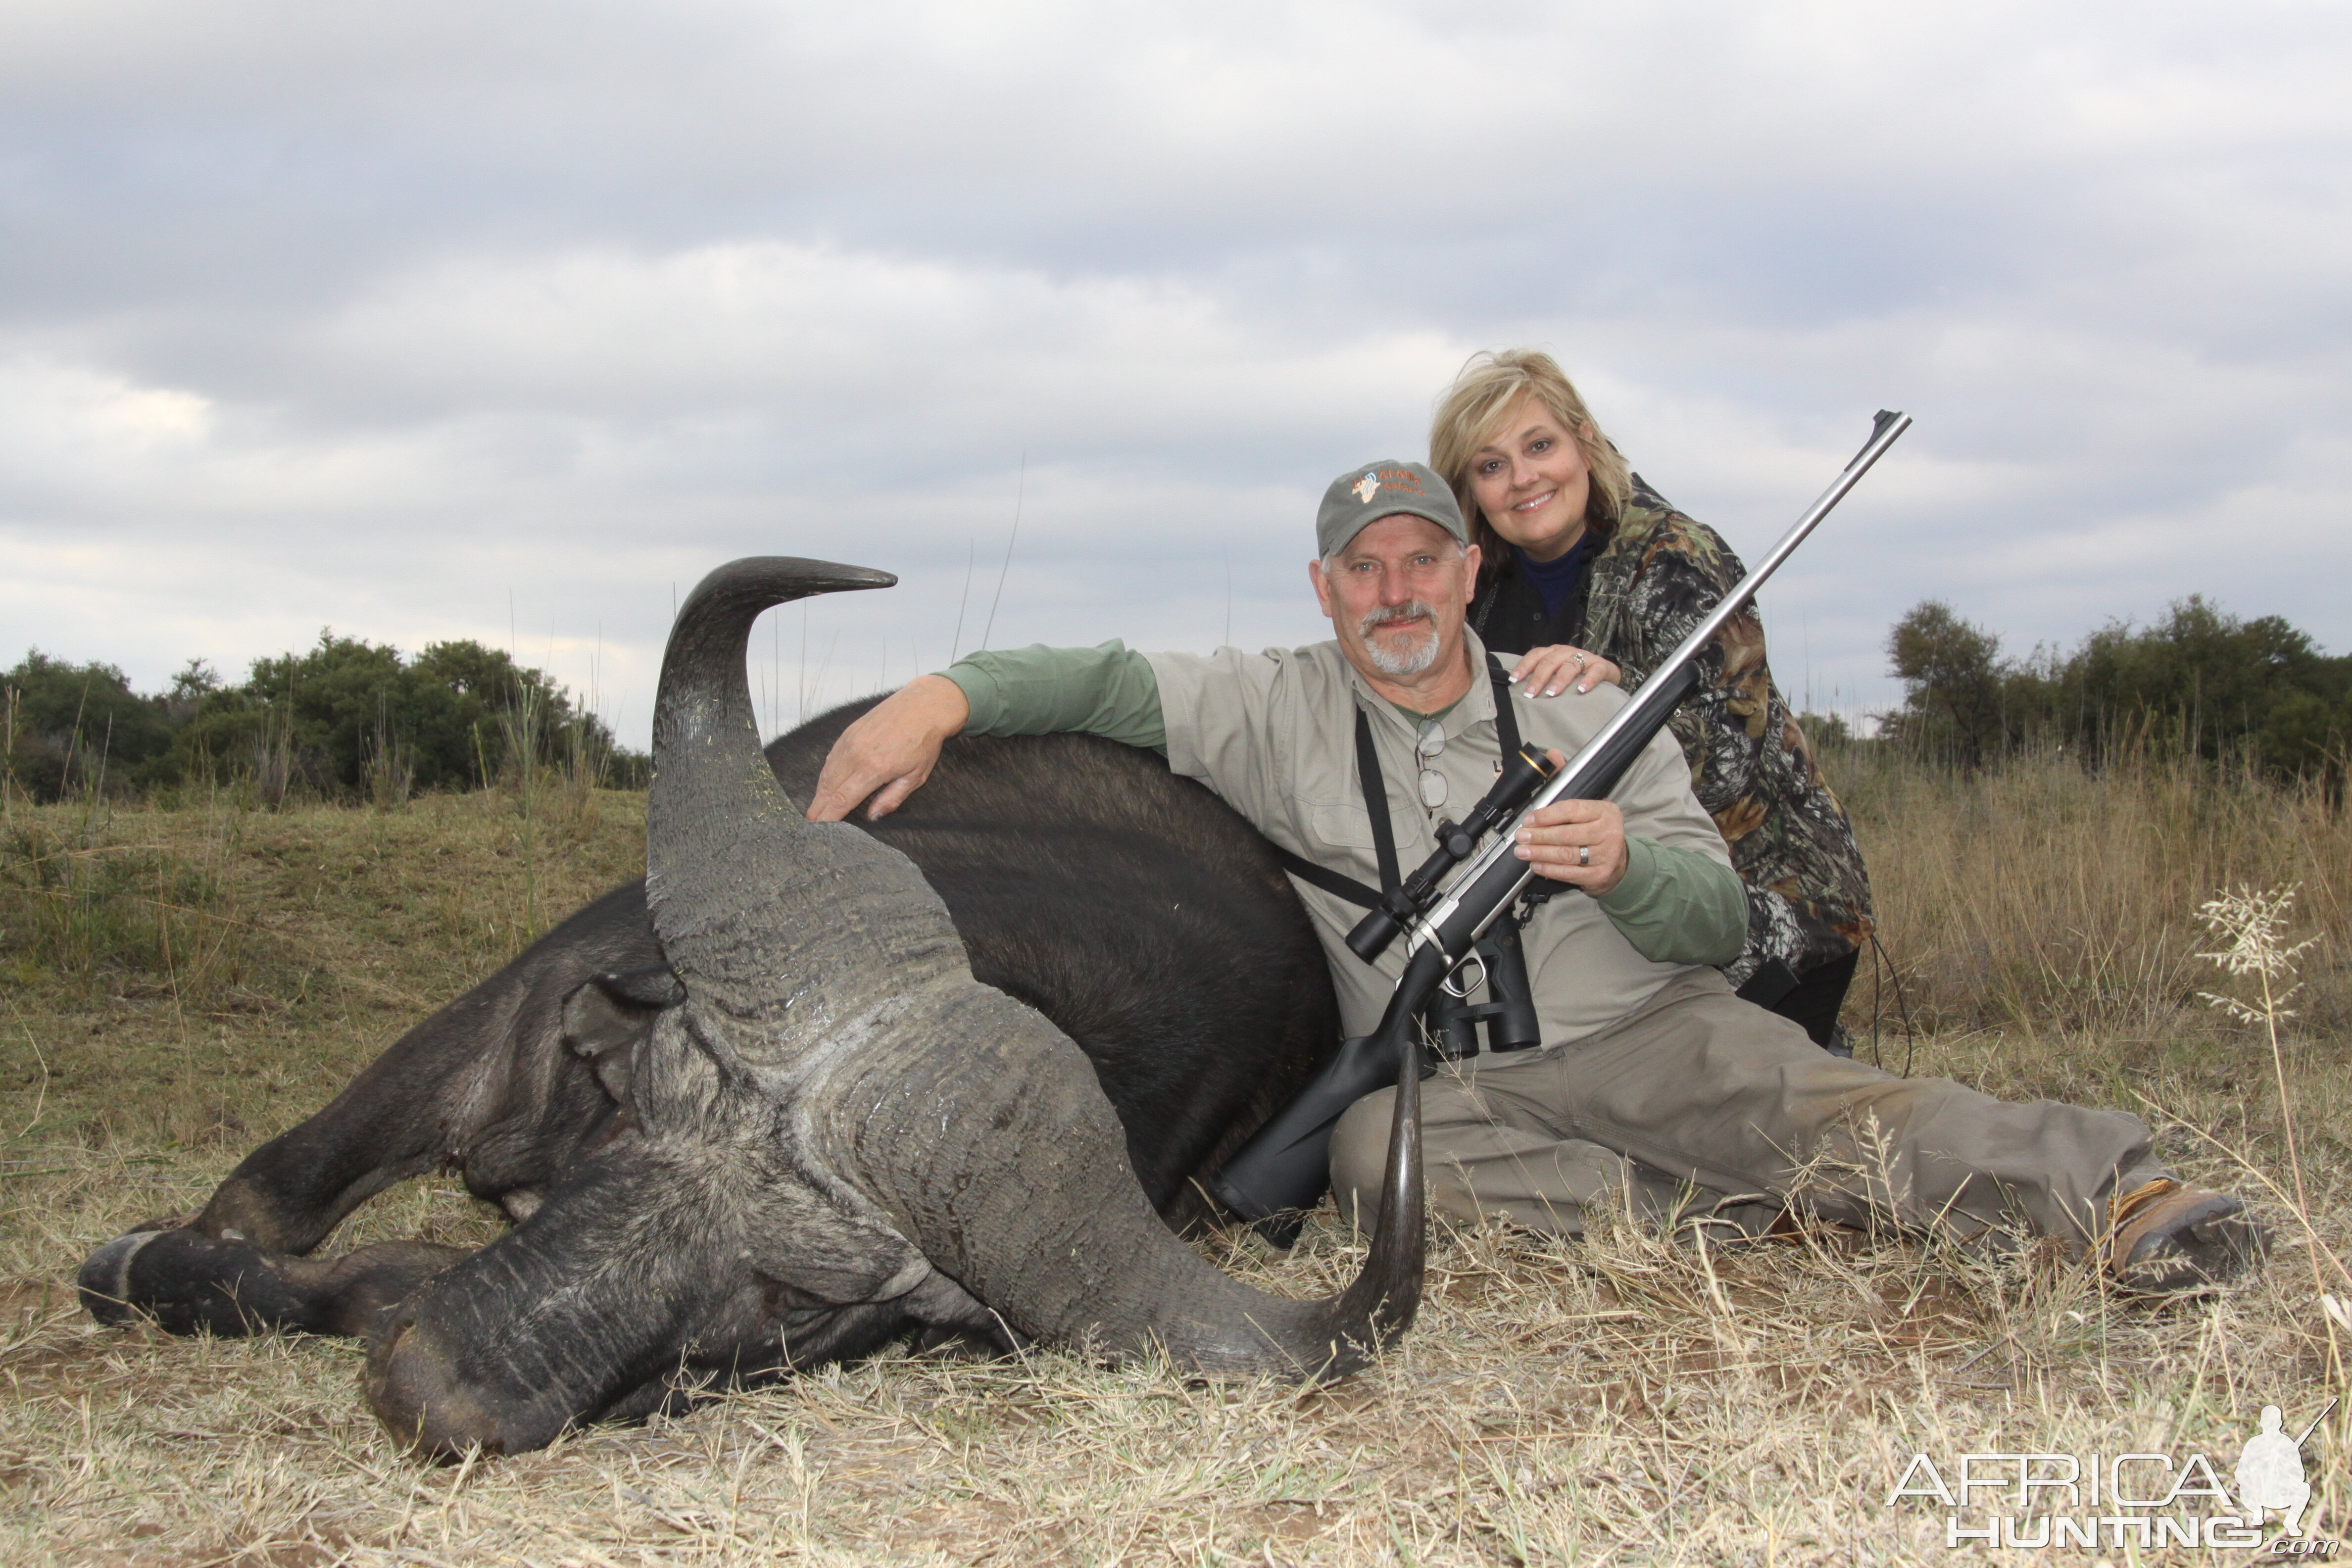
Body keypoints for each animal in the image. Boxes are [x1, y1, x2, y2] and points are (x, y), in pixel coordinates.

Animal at [83, 554, 1421, 1457]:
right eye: (634, 1124)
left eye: (790, 1296)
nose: (431, 1387)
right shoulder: (486, 1035)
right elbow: (267, 1199)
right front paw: (146, 1253)